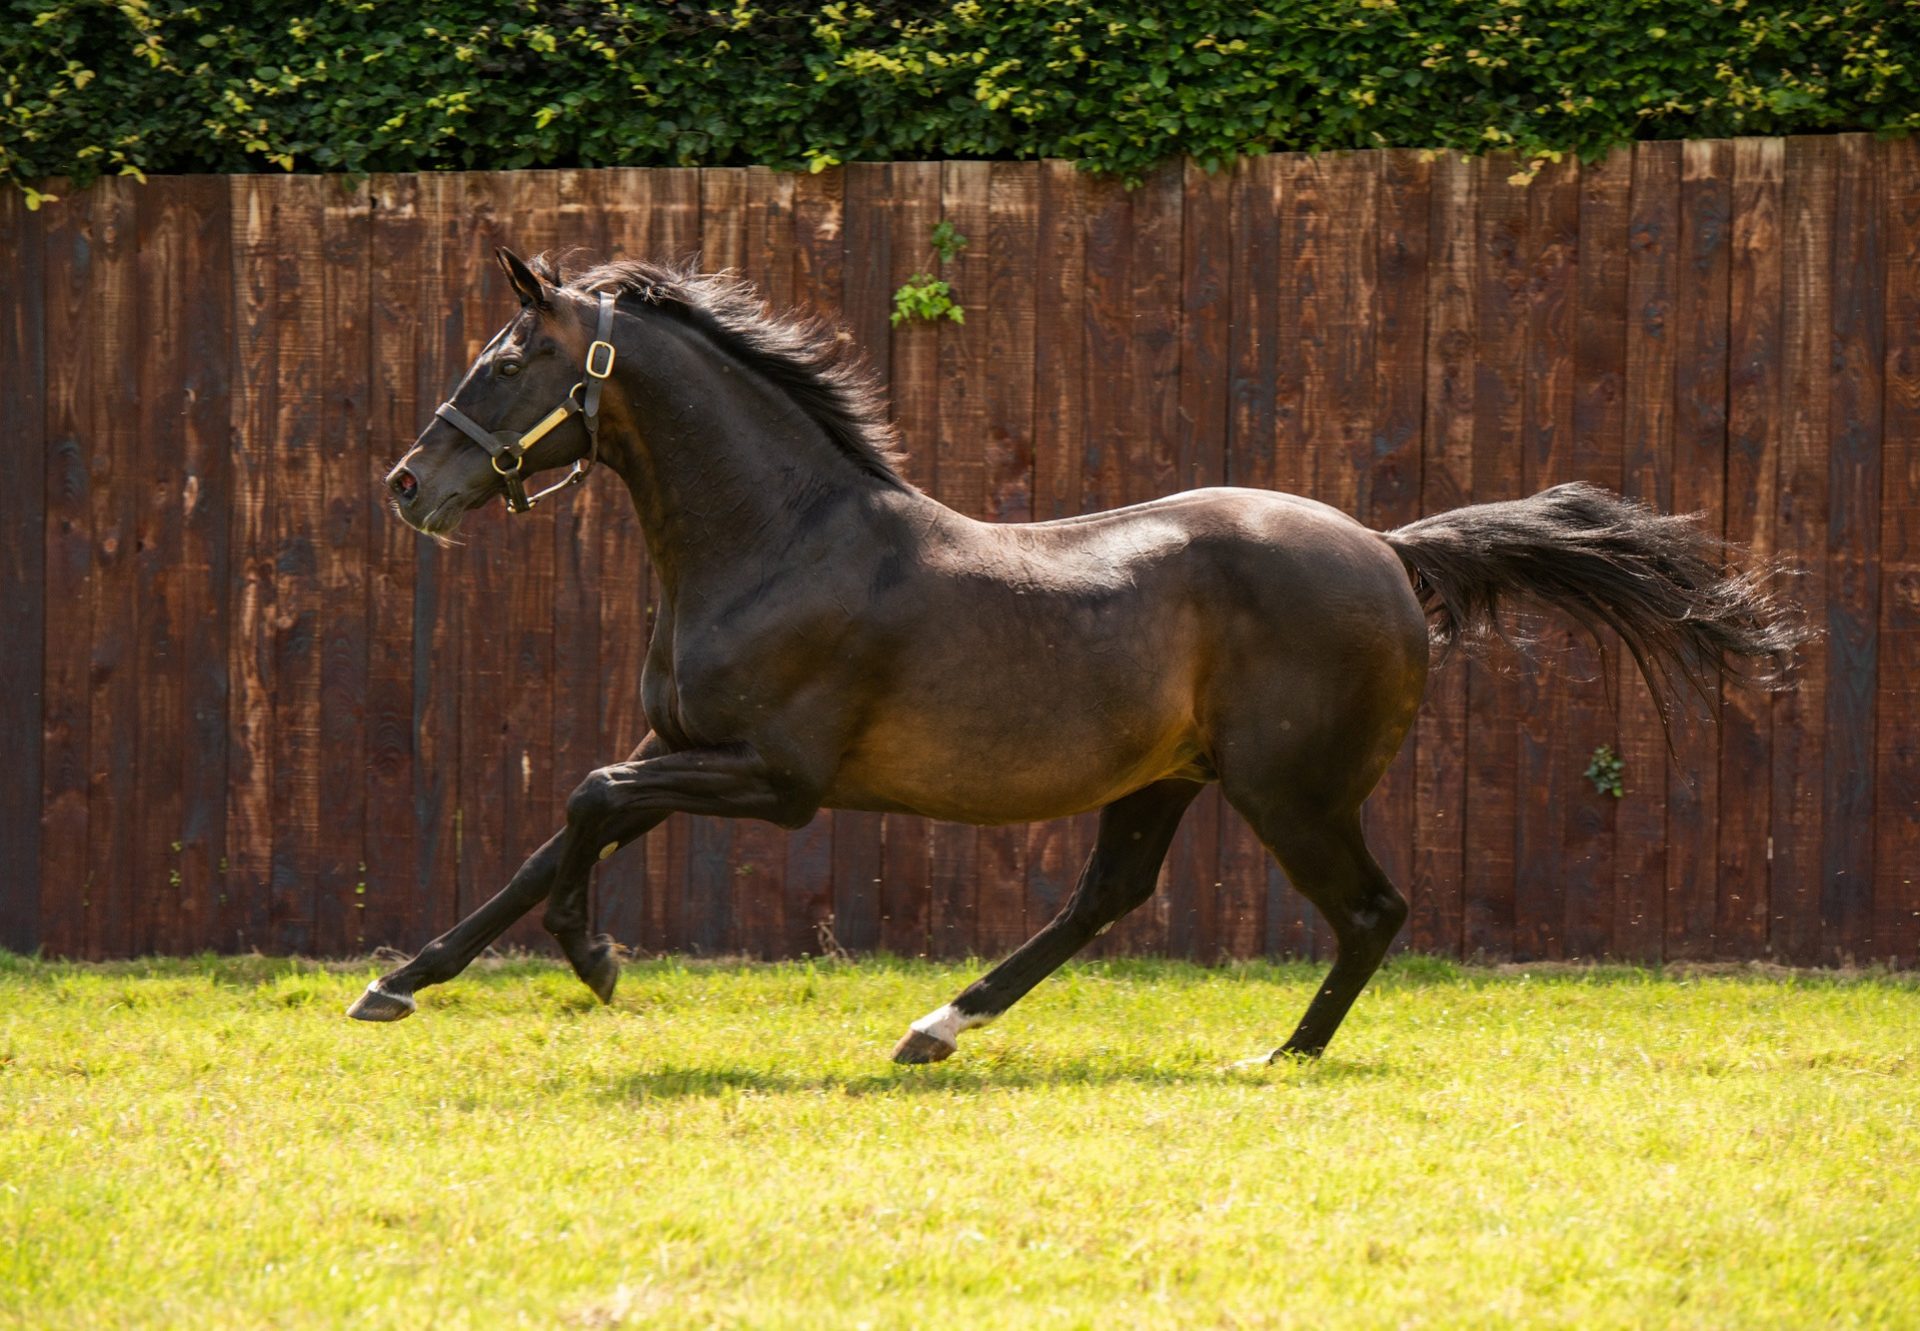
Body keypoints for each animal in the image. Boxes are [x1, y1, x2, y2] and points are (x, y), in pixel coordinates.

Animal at [353, 245, 1804, 1060]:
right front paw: (397, 982)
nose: (408, 486)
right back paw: (937, 1027)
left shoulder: (775, 778)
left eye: (505, 360)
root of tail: (1392, 552)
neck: (782, 540)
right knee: (1110, 894)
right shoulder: (686, 744)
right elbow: (554, 829)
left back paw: (1279, 1056)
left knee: (1370, 910)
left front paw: (592, 957)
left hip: (1289, 787)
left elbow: (584, 798)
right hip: (1167, 777)